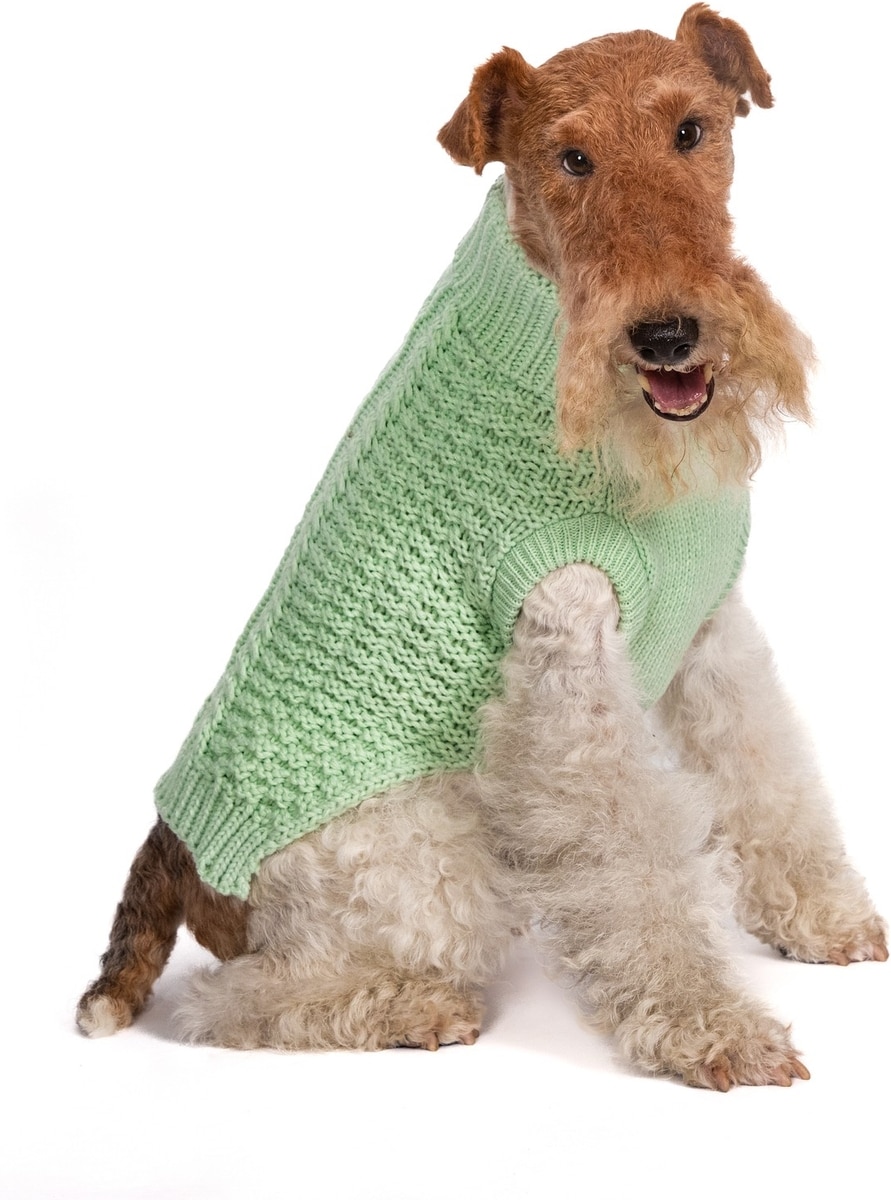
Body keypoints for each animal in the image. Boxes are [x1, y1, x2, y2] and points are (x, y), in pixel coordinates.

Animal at [77, 4, 887, 1089]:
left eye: (692, 130)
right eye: (571, 157)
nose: (666, 334)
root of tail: (171, 849)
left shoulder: (715, 630)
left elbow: (771, 775)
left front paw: (827, 918)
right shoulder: (569, 664)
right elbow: (634, 863)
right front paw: (714, 1030)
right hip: (427, 862)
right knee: (229, 1003)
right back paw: (418, 1008)